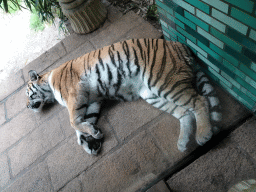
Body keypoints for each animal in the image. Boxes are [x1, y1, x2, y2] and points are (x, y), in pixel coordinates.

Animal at [26, 38, 222, 154]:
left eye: (28, 95)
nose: (27, 106)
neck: (48, 83)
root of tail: (179, 45)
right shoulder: (92, 100)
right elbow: (83, 124)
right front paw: (92, 140)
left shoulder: (75, 94)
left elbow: (73, 122)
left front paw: (90, 136)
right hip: (152, 94)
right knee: (185, 113)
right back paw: (182, 143)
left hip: (164, 81)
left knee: (199, 100)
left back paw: (203, 134)